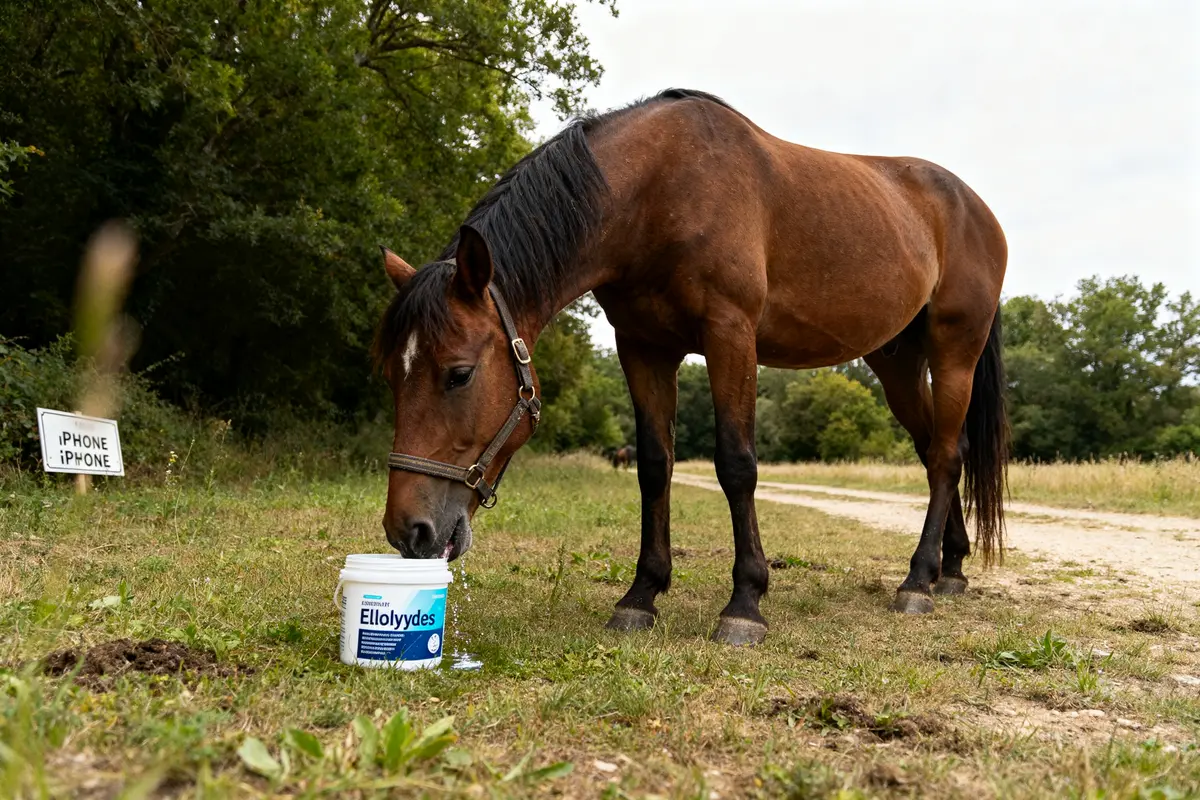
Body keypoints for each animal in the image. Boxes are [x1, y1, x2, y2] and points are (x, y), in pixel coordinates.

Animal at [373, 89, 1008, 646]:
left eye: (459, 374)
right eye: (391, 378)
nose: (409, 530)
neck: (656, 190)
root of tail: (977, 209)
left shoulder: (730, 335)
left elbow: (737, 465)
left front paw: (745, 604)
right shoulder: (643, 347)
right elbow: (655, 466)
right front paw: (640, 596)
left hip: (954, 352)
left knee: (946, 456)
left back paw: (917, 580)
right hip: (897, 362)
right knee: (937, 453)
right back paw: (948, 569)